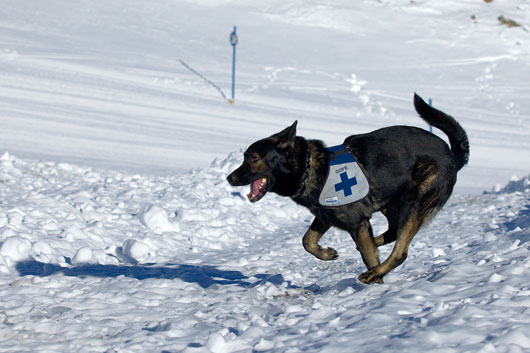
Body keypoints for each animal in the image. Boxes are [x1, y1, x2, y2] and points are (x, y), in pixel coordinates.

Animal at [225, 93, 468, 284]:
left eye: (253, 159)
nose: (229, 178)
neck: (310, 168)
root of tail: (453, 156)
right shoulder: (326, 216)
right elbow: (307, 240)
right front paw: (326, 253)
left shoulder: (356, 222)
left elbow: (368, 256)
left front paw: (376, 282)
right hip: (391, 202)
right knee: (391, 232)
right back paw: (375, 244)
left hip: (414, 202)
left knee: (400, 251)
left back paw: (374, 272)